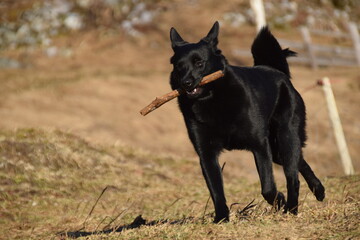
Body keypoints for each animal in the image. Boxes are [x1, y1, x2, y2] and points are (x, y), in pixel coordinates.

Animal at [169, 22, 326, 223]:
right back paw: (318, 190)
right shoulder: (206, 153)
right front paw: (221, 219)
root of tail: (276, 71)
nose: (186, 83)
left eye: (199, 63)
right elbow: (216, 190)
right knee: (300, 160)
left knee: (293, 175)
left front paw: (280, 201)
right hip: (276, 149)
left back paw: (291, 208)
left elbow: (268, 188)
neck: (212, 99)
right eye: (179, 66)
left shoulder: (259, 146)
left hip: (285, 137)